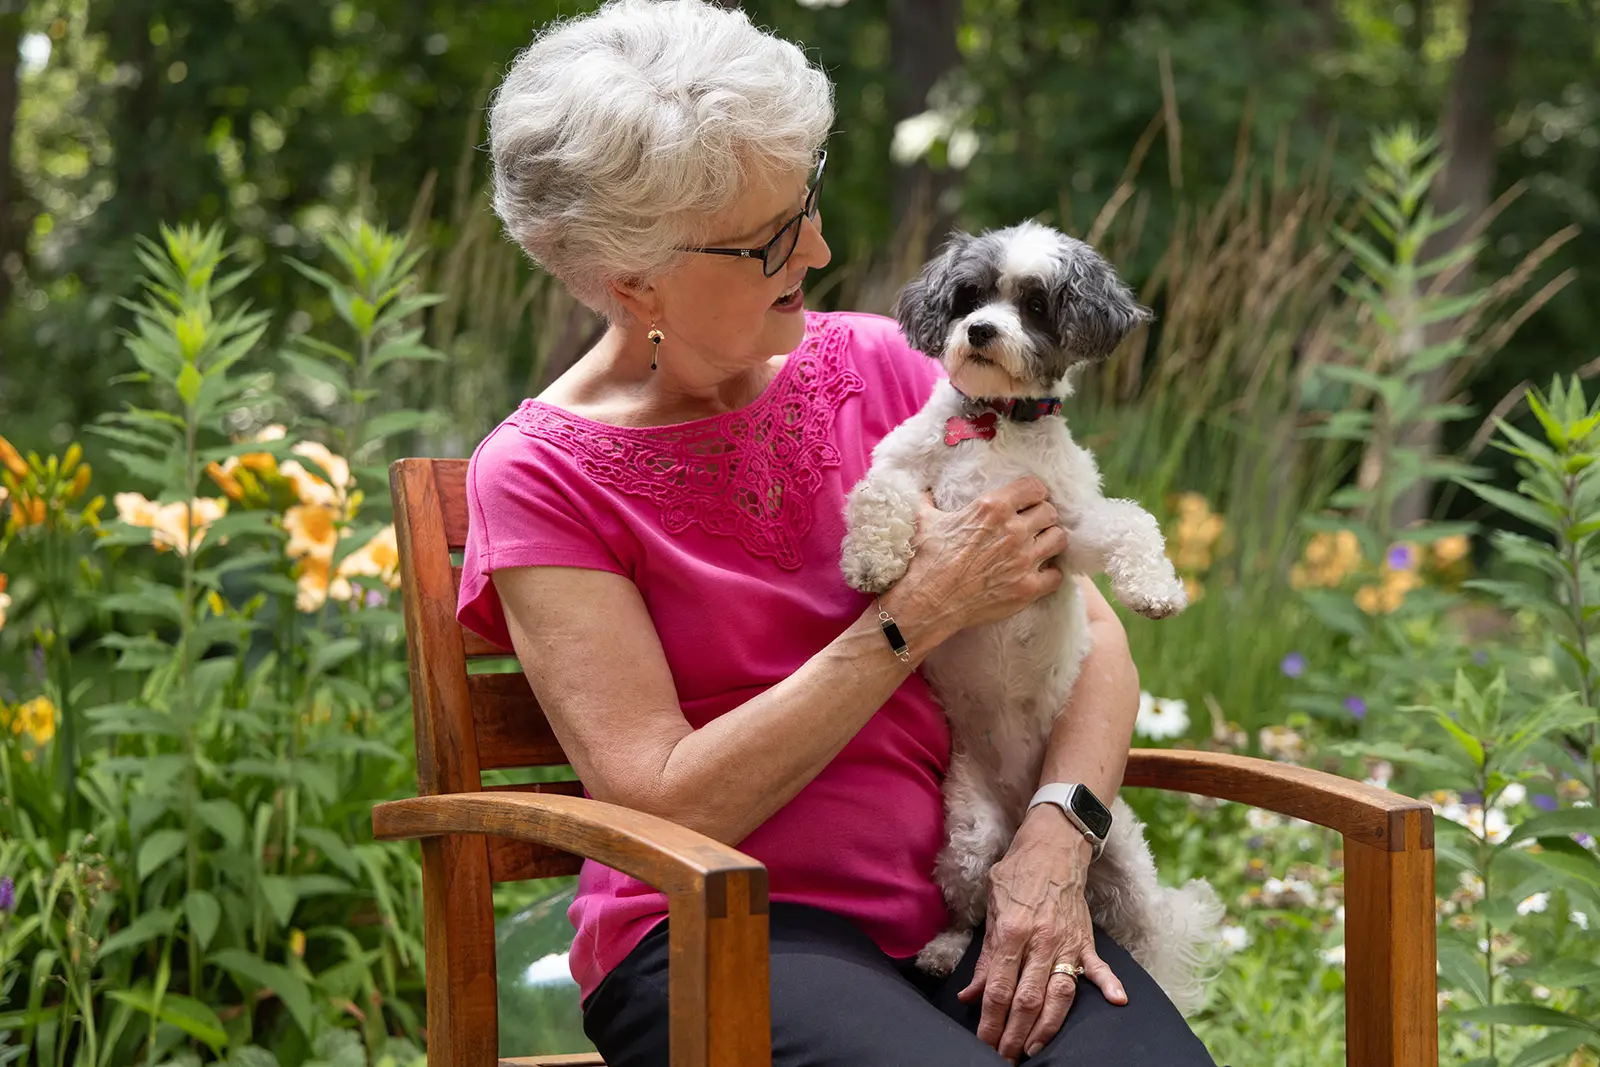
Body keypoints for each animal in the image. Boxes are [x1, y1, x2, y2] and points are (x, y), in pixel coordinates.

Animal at [844, 220, 1216, 1017]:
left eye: (1038, 304)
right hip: (968, 836)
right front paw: (871, 561)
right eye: (968, 295)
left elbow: (1132, 522)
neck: (992, 426)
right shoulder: (902, 472)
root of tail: (1020, 819)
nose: (981, 330)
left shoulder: (1067, 531)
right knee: (975, 910)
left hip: (1122, 860)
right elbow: (876, 496)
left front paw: (1157, 591)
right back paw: (943, 948)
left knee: (1143, 935)